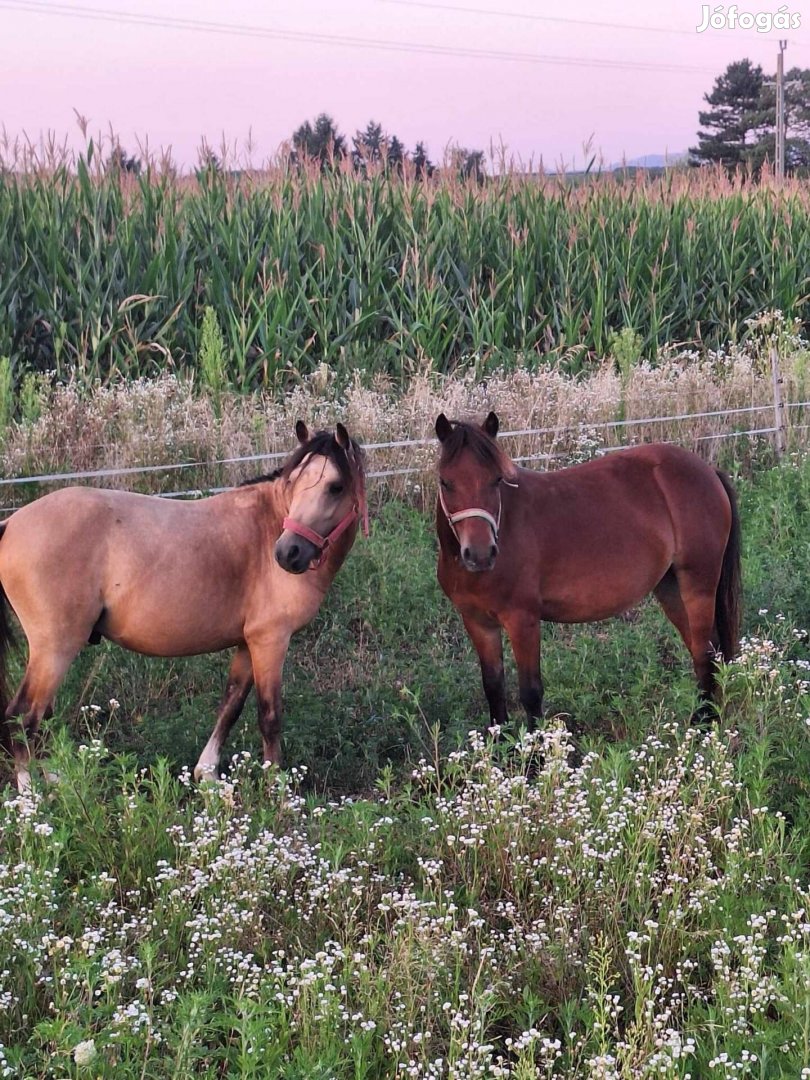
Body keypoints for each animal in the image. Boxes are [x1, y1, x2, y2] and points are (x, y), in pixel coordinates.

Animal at [0, 416, 365, 790]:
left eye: (335, 487)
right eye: (294, 482)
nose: (287, 553)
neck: (265, 526)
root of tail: (10, 523)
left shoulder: (248, 642)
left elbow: (231, 704)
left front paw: (208, 775)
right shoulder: (272, 641)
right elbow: (269, 715)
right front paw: (278, 791)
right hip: (54, 648)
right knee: (23, 719)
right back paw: (32, 799)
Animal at [438, 412, 743, 734]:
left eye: (496, 480)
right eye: (445, 482)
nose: (480, 554)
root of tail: (707, 470)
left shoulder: (523, 621)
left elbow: (530, 692)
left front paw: (535, 749)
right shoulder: (478, 623)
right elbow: (493, 688)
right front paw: (500, 746)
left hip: (698, 585)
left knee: (706, 653)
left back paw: (704, 726)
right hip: (671, 588)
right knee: (704, 650)